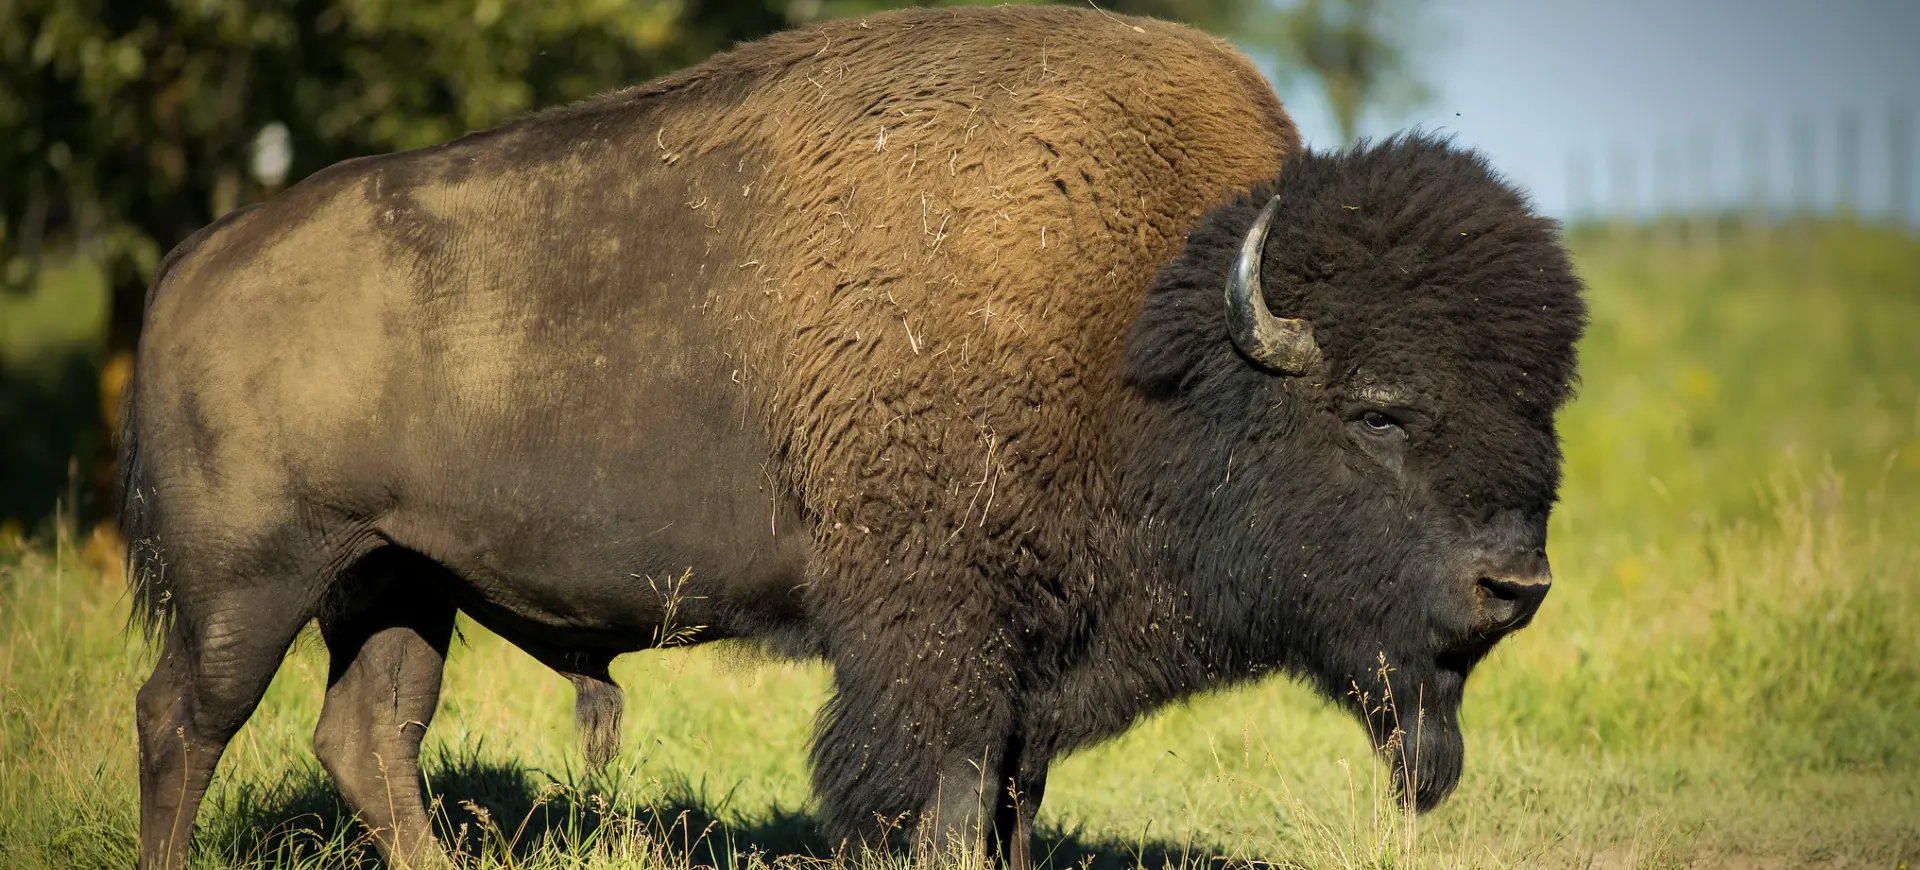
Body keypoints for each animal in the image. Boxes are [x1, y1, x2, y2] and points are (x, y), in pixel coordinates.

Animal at [123, 6, 1589, 868]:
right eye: (1380, 411)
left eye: (1542, 408)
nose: (1515, 583)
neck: (1148, 324)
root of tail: (193, 261)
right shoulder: (936, 643)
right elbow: (936, 809)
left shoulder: (1032, 665)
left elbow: (1010, 811)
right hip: (251, 584)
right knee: (182, 723)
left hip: (394, 582)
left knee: (369, 738)